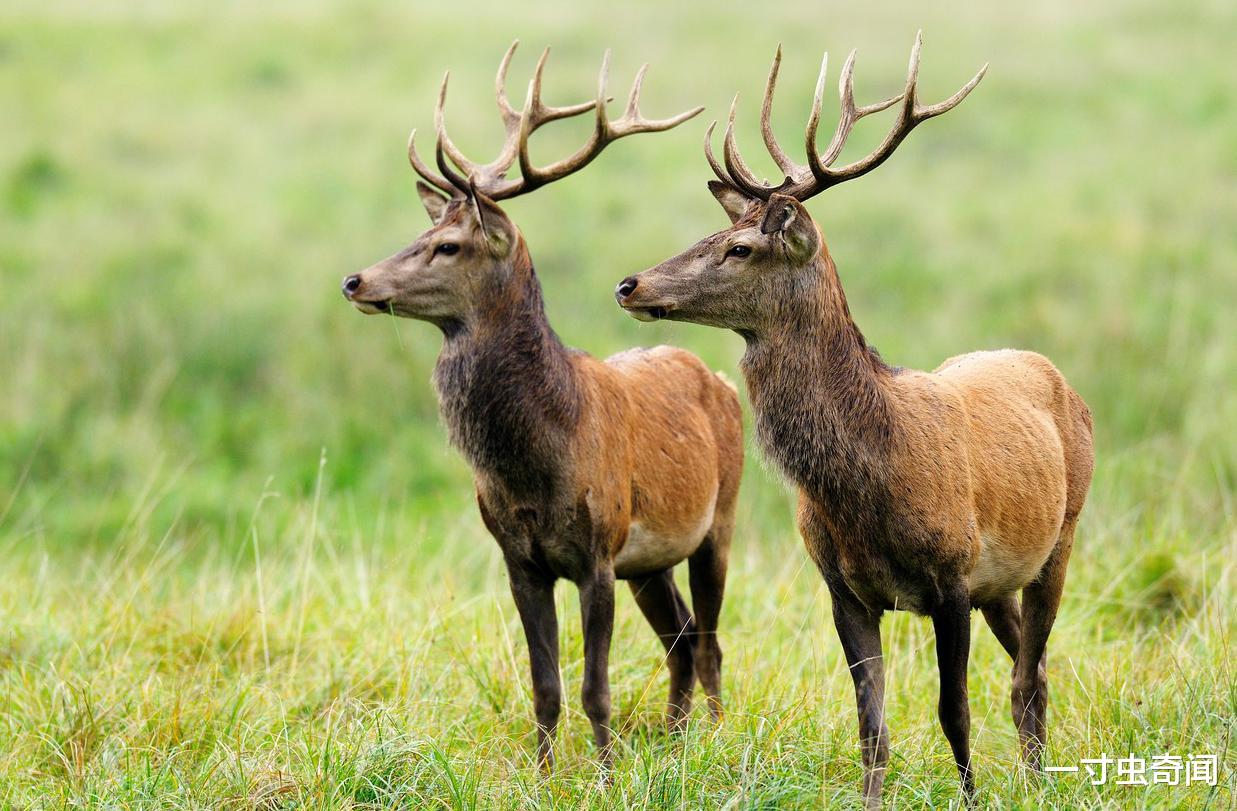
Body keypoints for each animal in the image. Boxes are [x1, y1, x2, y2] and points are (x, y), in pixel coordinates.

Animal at [341, 42, 742, 766]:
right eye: (422, 231)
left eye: (449, 245)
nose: (355, 279)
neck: (536, 463)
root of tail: (720, 379)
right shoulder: (519, 557)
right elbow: (545, 685)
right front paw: (544, 772)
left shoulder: (597, 551)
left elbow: (595, 689)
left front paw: (606, 774)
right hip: (649, 559)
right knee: (680, 635)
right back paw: (674, 740)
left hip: (717, 520)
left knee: (709, 640)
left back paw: (715, 740)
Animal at [616, 31, 1093, 806]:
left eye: (739, 247)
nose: (630, 284)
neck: (868, 481)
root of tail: (1054, 374)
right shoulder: (843, 587)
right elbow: (871, 725)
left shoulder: (951, 576)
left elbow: (952, 710)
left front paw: (969, 794)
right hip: (1001, 579)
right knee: (1031, 663)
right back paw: (1035, 772)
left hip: (1062, 534)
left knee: (1028, 670)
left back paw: (1037, 780)